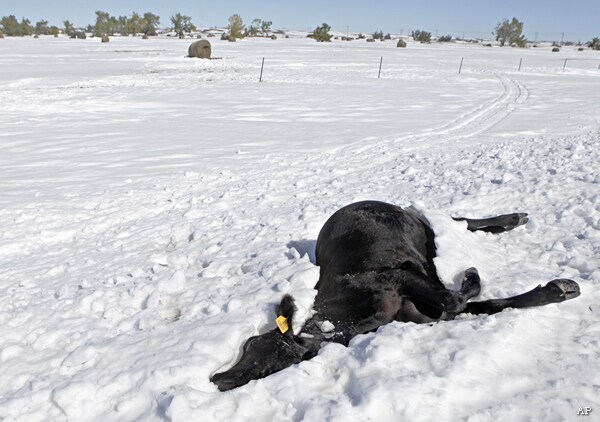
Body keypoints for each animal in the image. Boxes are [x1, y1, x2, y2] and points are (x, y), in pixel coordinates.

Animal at [211, 199, 580, 390]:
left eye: (252, 344)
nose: (219, 378)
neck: (345, 320)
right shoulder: (414, 311)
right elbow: (473, 305)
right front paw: (556, 289)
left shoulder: (396, 276)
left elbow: (456, 297)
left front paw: (472, 274)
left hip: (422, 224)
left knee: (461, 220)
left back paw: (513, 217)